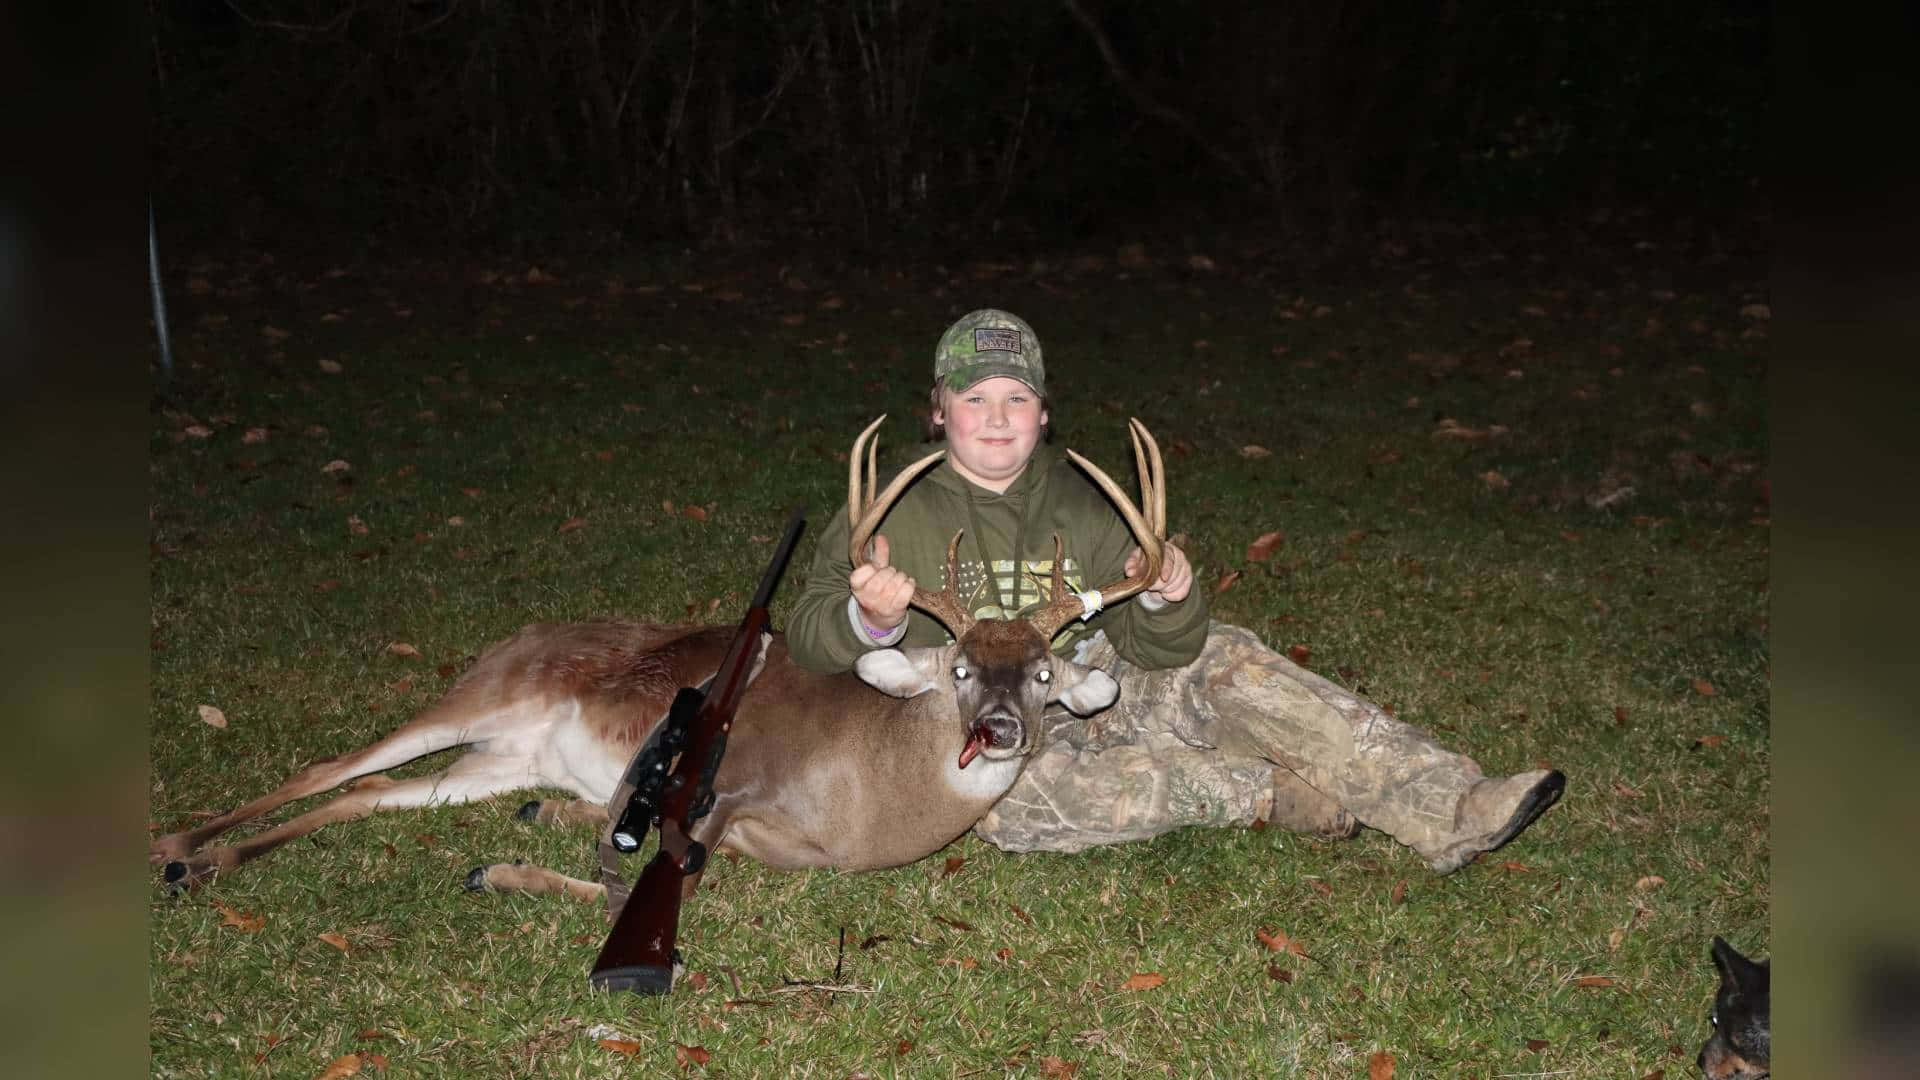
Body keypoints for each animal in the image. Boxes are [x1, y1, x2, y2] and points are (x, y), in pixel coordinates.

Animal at [151, 417, 1169, 903]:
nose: (996, 729)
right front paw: (502, 874)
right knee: (331, 766)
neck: (869, 796)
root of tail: (524, 636)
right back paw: (176, 846)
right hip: (481, 696)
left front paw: (519, 851)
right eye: (957, 666)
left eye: (1043, 676)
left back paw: (203, 864)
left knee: (366, 793)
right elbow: (639, 884)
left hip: (498, 757)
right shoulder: (724, 792)